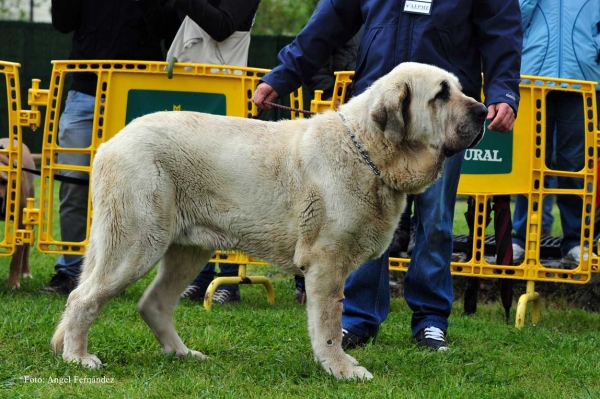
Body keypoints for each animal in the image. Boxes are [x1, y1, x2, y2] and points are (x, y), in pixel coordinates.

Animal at [51, 62, 488, 382]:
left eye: (459, 88)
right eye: (441, 95)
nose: (484, 111)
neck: (367, 148)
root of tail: (110, 143)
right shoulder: (326, 262)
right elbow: (329, 325)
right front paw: (341, 369)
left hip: (186, 249)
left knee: (153, 303)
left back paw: (182, 354)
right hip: (136, 243)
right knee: (82, 298)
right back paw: (77, 357)